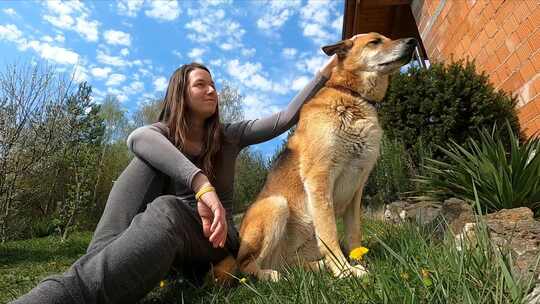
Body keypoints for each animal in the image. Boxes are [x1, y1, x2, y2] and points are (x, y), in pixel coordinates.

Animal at [213, 32, 416, 282]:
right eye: (375, 41)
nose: (412, 42)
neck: (352, 96)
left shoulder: (356, 188)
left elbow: (353, 233)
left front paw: (358, 262)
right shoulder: (319, 179)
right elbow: (329, 233)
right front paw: (344, 271)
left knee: (292, 264)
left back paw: (314, 268)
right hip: (276, 205)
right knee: (245, 265)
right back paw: (272, 275)